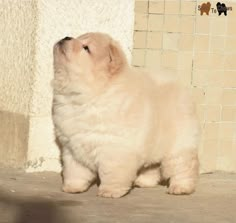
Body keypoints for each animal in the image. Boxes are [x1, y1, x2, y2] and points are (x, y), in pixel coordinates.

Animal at [52, 32, 199, 198]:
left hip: (179, 146)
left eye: (86, 48)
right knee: (152, 166)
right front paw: (72, 188)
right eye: (77, 37)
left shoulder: (114, 148)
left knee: (183, 167)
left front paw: (110, 191)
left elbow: (111, 173)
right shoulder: (72, 148)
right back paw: (143, 182)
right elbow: (75, 171)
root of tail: (180, 86)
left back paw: (181, 188)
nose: (66, 37)